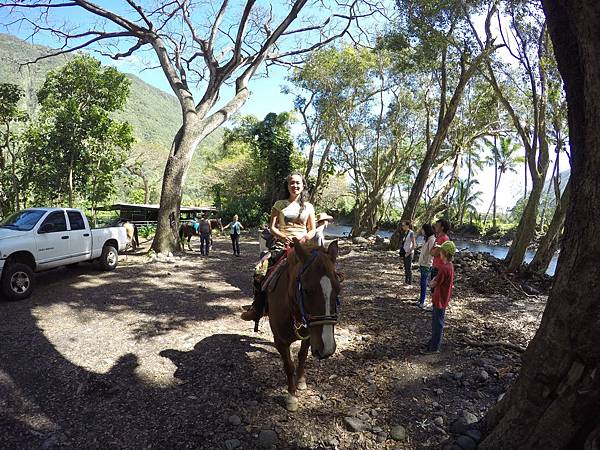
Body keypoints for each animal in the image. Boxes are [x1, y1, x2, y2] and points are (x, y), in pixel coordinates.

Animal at [268, 239, 342, 412]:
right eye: (307, 290)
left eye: (338, 289)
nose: (327, 348)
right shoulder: (280, 341)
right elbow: (289, 365)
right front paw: (291, 396)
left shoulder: (310, 336)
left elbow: (302, 356)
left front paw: (300, 381)